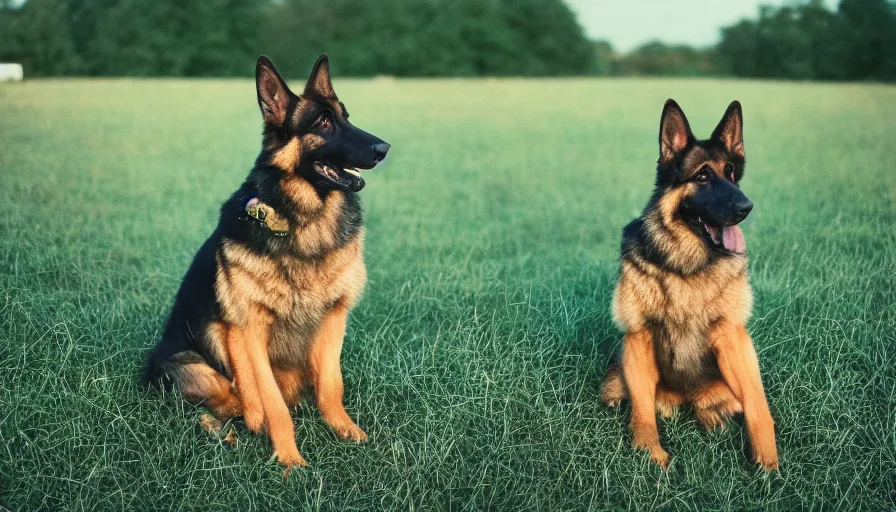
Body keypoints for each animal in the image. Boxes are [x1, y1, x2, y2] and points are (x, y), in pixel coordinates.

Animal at [144, 55, 388, 468]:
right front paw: (290, 462)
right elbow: (272, 404)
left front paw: (345, 430)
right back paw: (229, 431)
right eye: (323, 123)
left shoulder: (334, 319)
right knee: (229, 401)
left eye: (346, 116)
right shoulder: (250, 331)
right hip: (188, 365)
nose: (384, 147)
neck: (305, 220)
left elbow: (331, 385)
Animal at [600, 98, 776, 470]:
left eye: (731, 173)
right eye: (703, 176)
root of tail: (687, 397)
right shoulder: (638, 338)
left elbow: (758, 406)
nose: (747, 207)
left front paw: (770, 467)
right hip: (616, 376)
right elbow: (642, 413)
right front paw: (650, 457)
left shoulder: (733, 337)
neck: (688, 264)